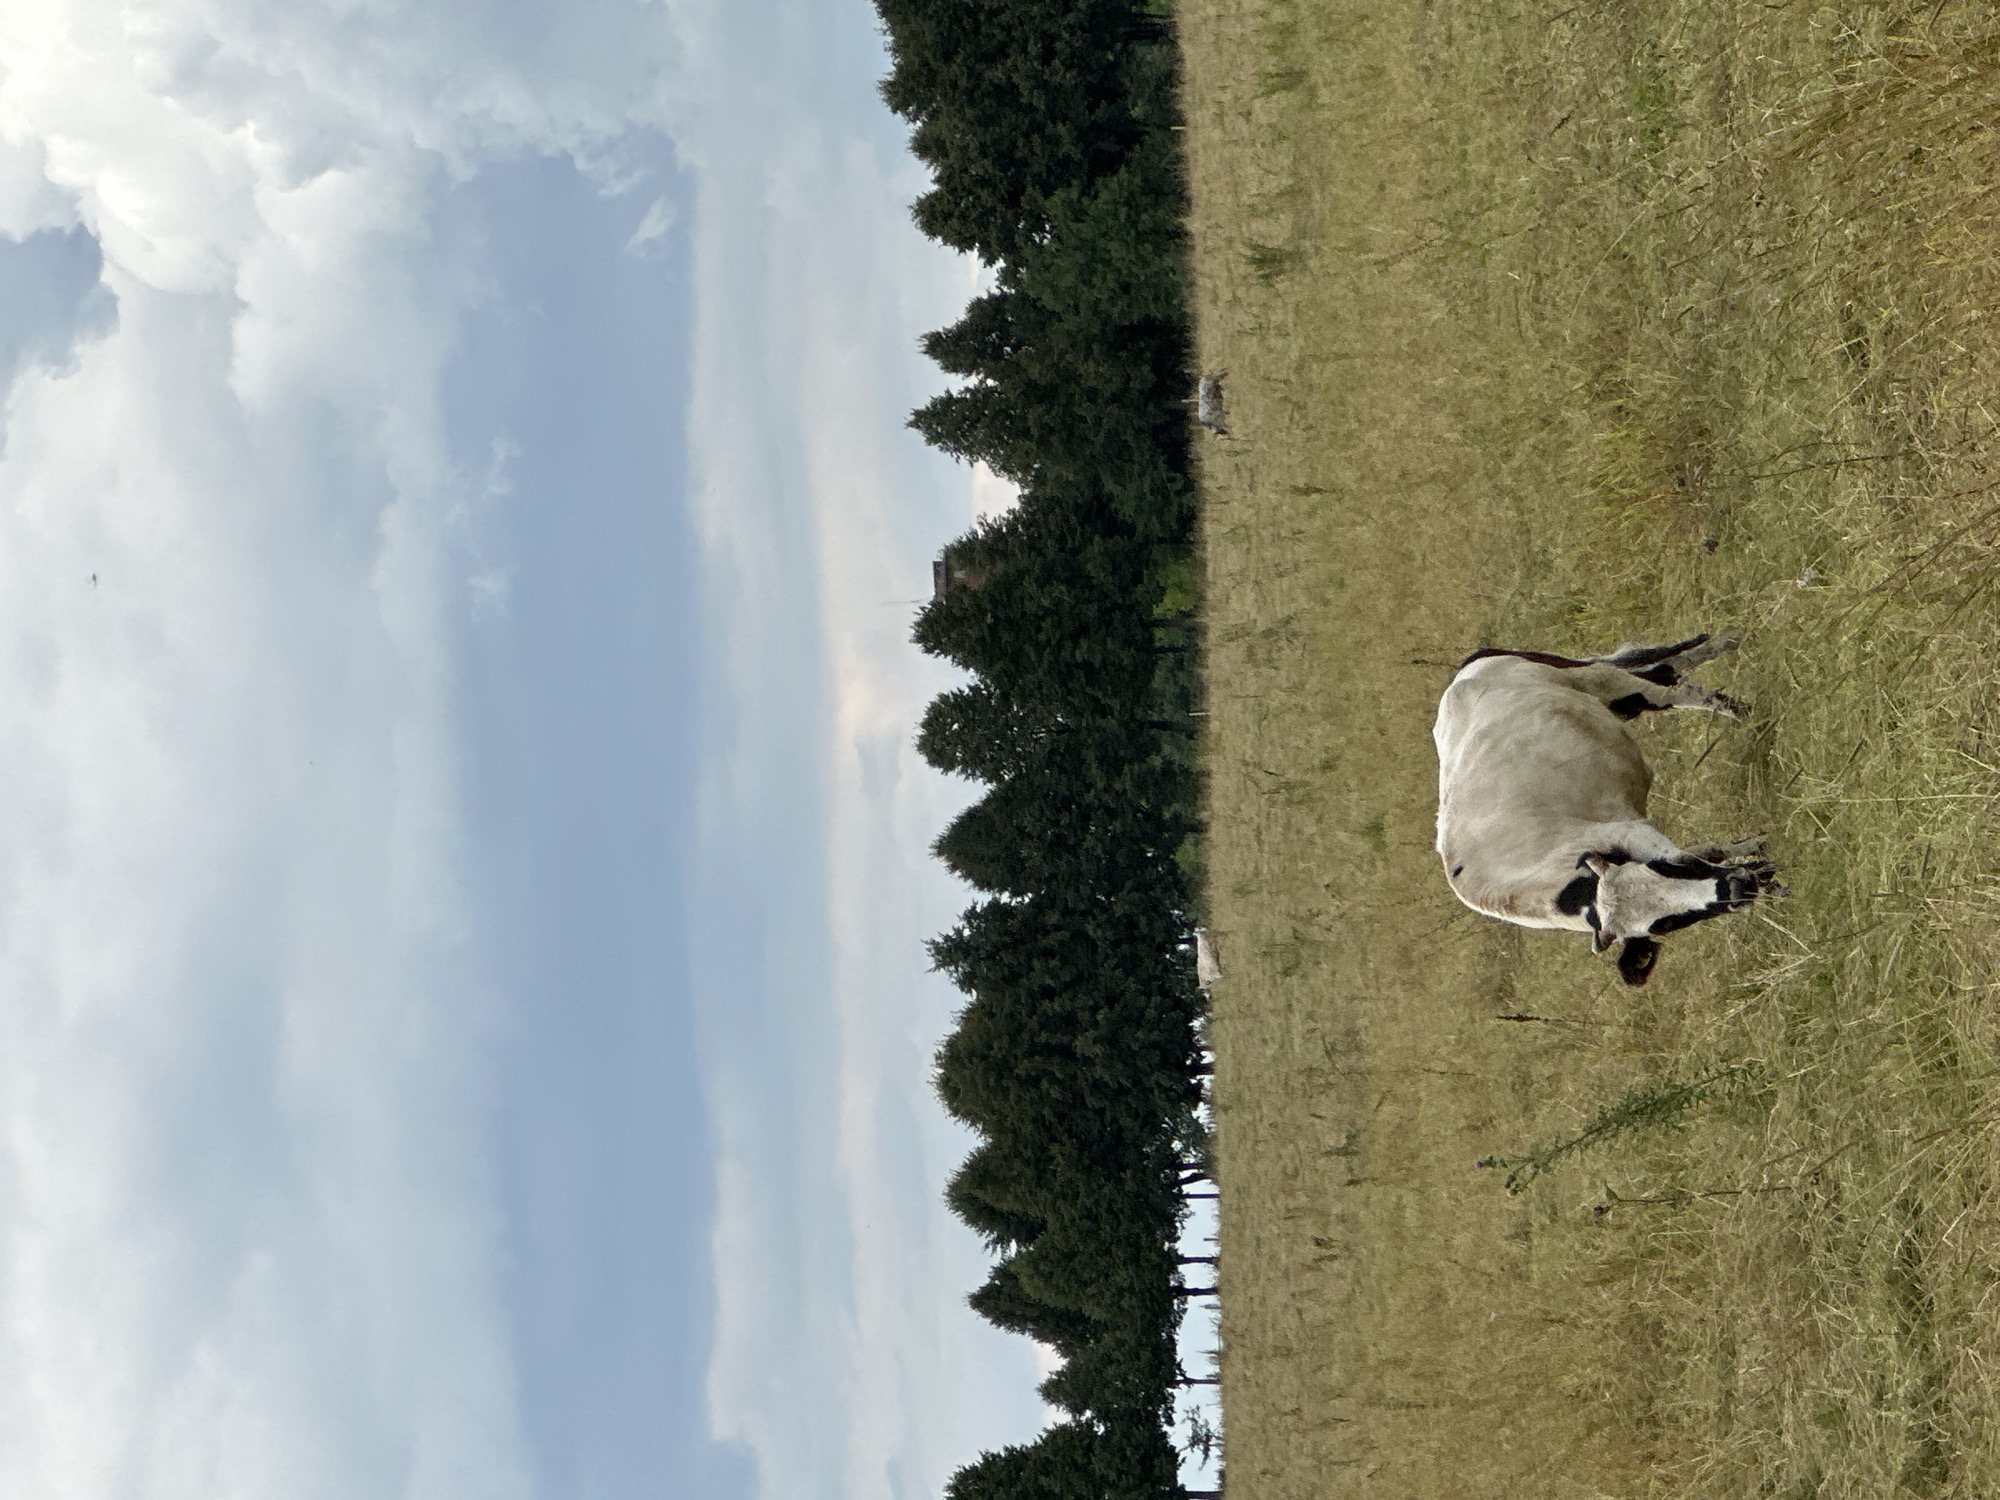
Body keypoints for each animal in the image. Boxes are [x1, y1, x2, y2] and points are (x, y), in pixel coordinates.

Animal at [1432, 633, 1781, 986]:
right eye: (1665, 924)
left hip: (1599, 679)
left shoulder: (1630, 831)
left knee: (1669, 685)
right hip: (1613, 698)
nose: (1736, 890)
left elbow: (1703, 851)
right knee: (1662, 672)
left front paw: (1757, 849)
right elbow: (1704, 852)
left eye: (1664, 870)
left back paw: (1738, 691)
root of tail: (1464, 675)